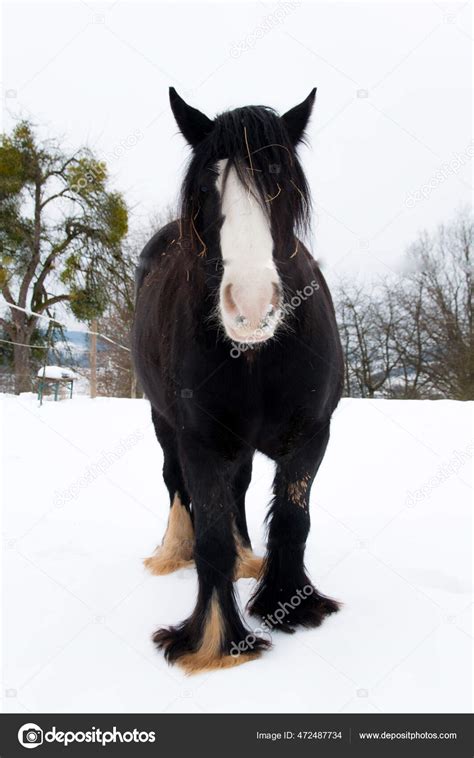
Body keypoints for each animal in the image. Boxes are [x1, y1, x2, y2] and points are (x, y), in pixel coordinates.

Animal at [132, 87, 344, 674]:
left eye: (281, 182)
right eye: (207, 186)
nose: (250, 306)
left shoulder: (313, 436)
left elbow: (292, 521)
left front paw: (290, 605)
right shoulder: (198, 441)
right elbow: (209, 539)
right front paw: (214, 641)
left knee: (240, 488)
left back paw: (250, 559)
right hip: (163, 423)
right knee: (175, 485)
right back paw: (174, 552)